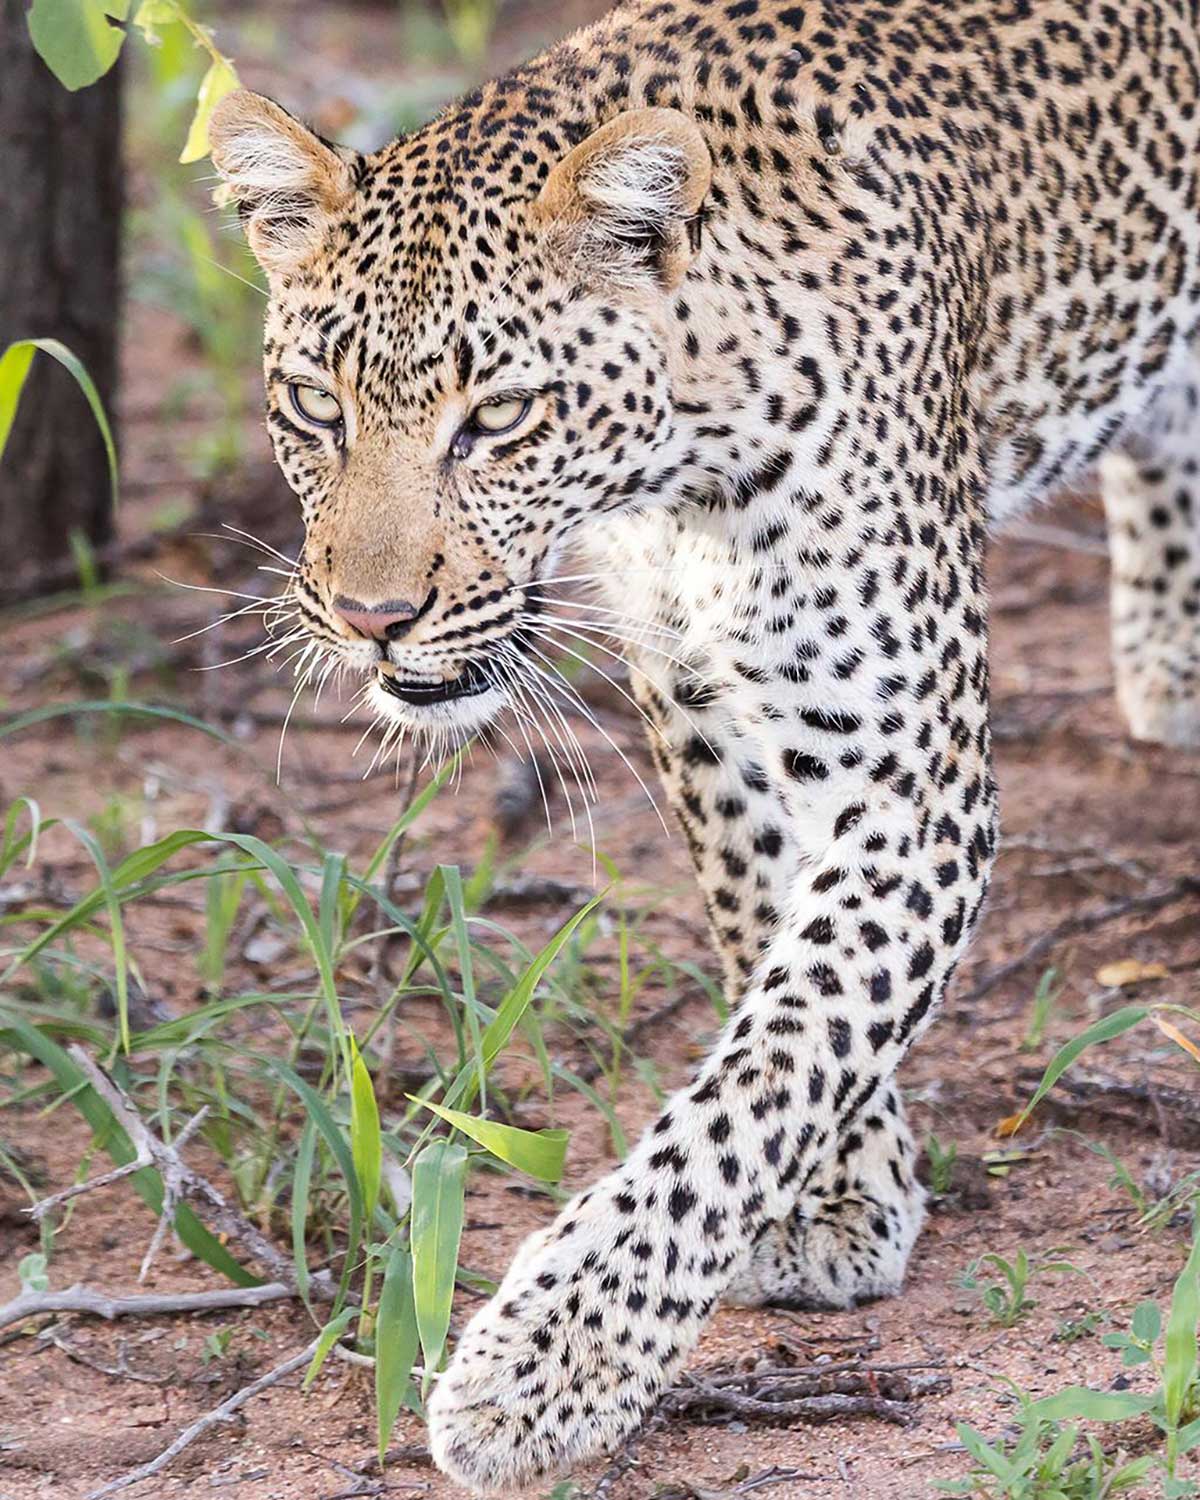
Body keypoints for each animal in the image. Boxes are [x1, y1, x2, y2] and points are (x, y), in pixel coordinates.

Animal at [209, 0, 1200, 1489]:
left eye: (499, 417)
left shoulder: (918, 779)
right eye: (318, 408)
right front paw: (845, 1189)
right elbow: (768, 943)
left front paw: (553, 1362)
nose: (374, 619)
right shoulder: (695, 697)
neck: (686, 467)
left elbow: (786, 1047)